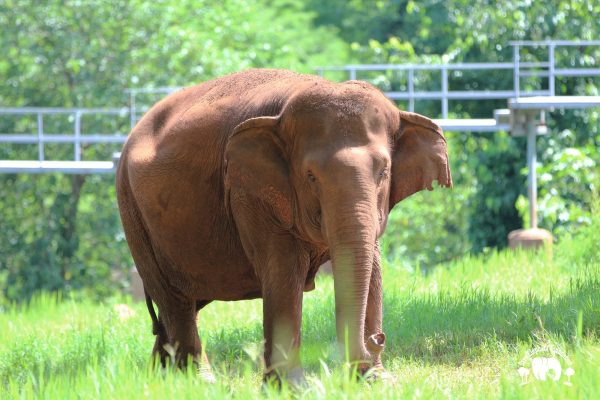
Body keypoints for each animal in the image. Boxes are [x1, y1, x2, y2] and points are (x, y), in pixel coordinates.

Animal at [115, 68, 450, 382]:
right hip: (132, 212)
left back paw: (160, 377)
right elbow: (283, 272)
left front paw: (375, 381)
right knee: (175, 302)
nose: (377, 338)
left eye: (384, 171)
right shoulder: (248, 191)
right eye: (311, 176)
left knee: (181, 307)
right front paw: (291, 387)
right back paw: (199, 381)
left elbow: (373, 270)